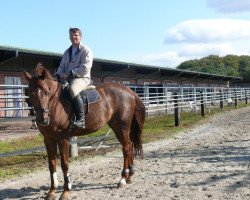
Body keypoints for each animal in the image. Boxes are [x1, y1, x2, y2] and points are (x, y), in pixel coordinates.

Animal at [23, 64, 145, 200]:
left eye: (46, 92)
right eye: (30, 93)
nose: (43, 120)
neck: (55, 104)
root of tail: (130, 91)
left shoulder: (62, 138)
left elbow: (64, 164)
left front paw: (66, 191)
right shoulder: (48, 139)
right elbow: (52, 164)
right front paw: (52, 191)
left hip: (122, 127)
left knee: (126, 148)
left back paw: (123, 179)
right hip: (117, 127)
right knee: (128, 146)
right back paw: (129, 176)